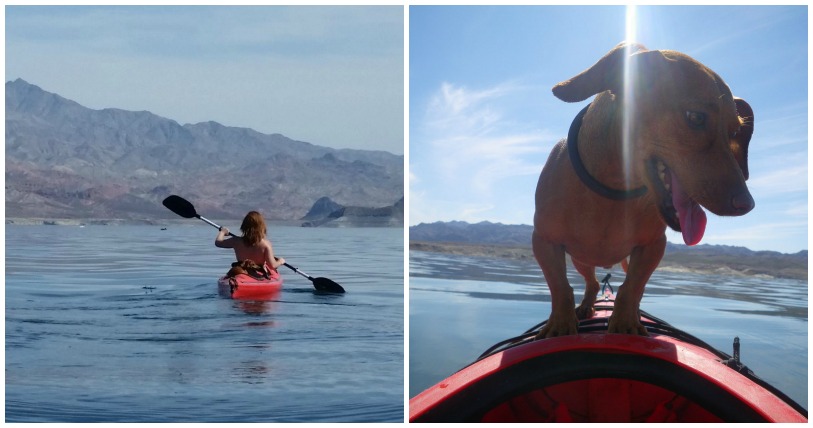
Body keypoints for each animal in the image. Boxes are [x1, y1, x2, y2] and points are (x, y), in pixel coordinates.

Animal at [532, 43, 756, 338]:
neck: (613, 189)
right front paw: (560, 326)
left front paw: (626, 324)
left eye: (735, 132)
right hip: (582, 259)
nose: (747, 204)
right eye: (695, 117)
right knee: (592, 283)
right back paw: (586, 306)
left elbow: (633, 288)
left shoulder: (652, 247)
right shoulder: (544, 241)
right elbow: (559, 287)